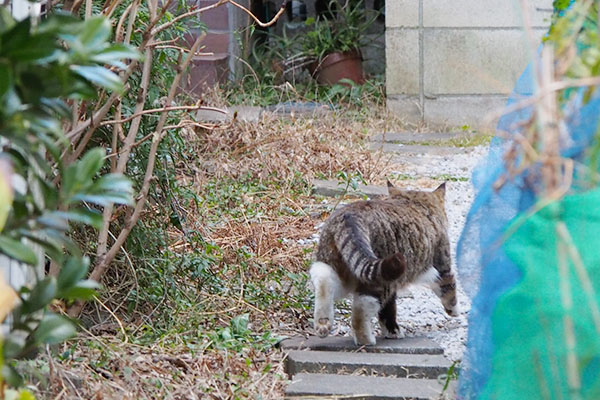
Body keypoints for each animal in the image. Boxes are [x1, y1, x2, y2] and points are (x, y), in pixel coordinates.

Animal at [312, 181, 458, 344]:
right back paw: (365, 340)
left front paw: (391, 331)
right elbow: (449, 287)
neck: (415, 201)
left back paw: (323, 323)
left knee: (324, 281)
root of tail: (349, 218)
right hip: (381, 275)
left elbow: (388, 309)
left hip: (340, 266)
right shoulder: (442, 265)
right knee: (361, 309)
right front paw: (454, 311)